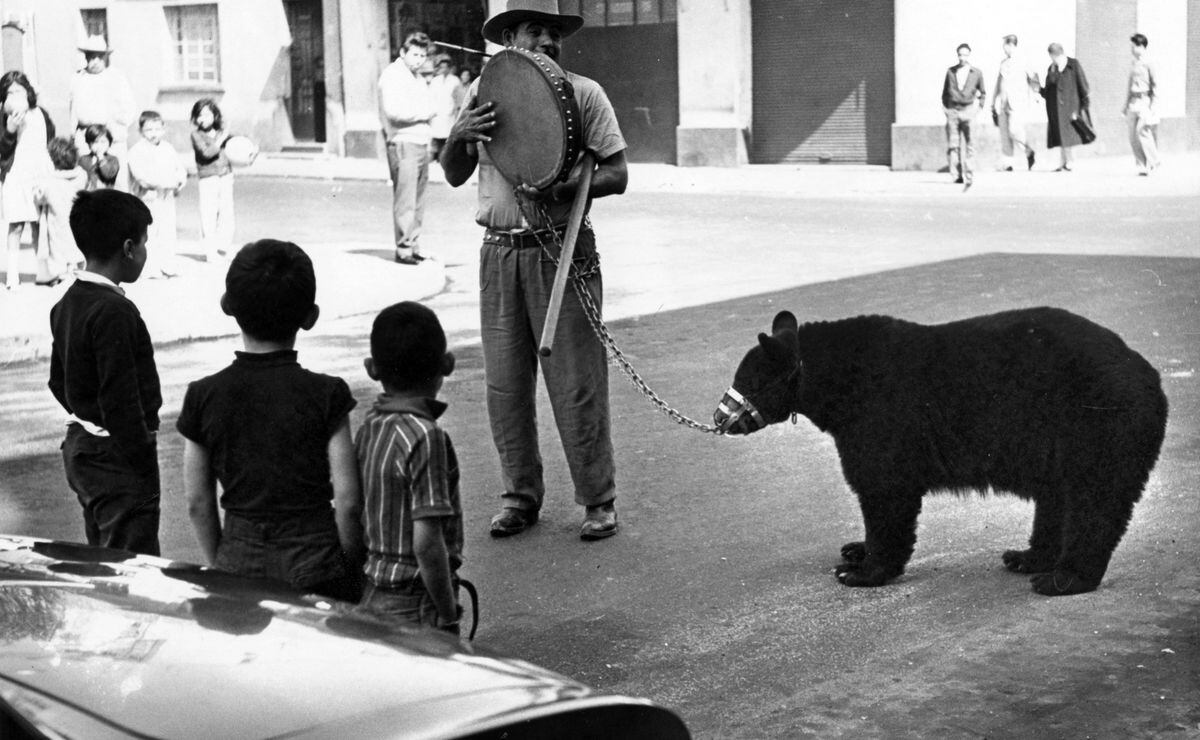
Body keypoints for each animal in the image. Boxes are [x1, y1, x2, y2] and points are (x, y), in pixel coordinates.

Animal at [715, 305, 1166, 594]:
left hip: (1098, 423)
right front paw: (855, 549)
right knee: (1058, 498)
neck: (837, 380)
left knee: (1095, 500)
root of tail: (1150, 374)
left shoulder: (882, 413)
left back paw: (1065, 578)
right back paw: (1027, 557)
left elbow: (883, 486)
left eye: (748, 381)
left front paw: (861, 571)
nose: (720, 416)